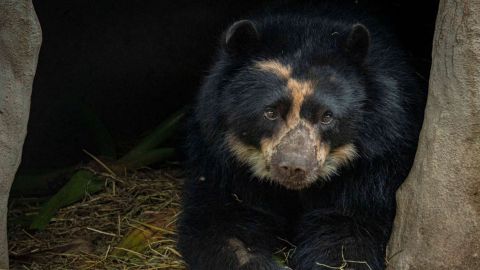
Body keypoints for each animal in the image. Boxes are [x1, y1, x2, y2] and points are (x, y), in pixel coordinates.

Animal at [178, 2, 426, 270]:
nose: (294, 167)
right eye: (270, 112)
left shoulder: (374, 166)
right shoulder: (221, 162)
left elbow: (345, 234)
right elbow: (222, 226)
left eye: (327, 117)